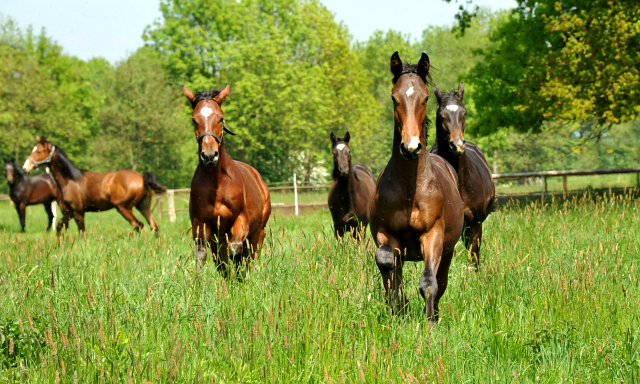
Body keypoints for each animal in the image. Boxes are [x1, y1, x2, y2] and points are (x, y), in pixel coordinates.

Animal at [23, 136, 165, 236]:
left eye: (39, 151)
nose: (25, 167)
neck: (71, 180)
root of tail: (141, 177)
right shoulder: (71, 210)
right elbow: (59, 225)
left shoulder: (78, 211)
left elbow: (82, 231)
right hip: (143, 206)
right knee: (154, 226)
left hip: (124, 207)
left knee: (138, 225)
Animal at [182, 85, 270, 274]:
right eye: (194, 120)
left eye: (221, 118)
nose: (209, 156)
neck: (217, 184)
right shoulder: (202, 225)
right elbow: (203, 255)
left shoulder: (240, 222)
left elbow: (236, 252)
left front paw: (241, 280)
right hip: (219, 238)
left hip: (258, 232)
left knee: (251, 256)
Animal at [370, 51, 464, 320]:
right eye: (394, 97)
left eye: (424, 98)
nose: (410, 147)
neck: (410, 190)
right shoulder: (386, 234)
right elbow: (386, 261)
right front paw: (397, 303)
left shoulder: (433, 235)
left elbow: (429, 282)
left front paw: (430, 322)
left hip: (448, 250)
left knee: (441, 280)